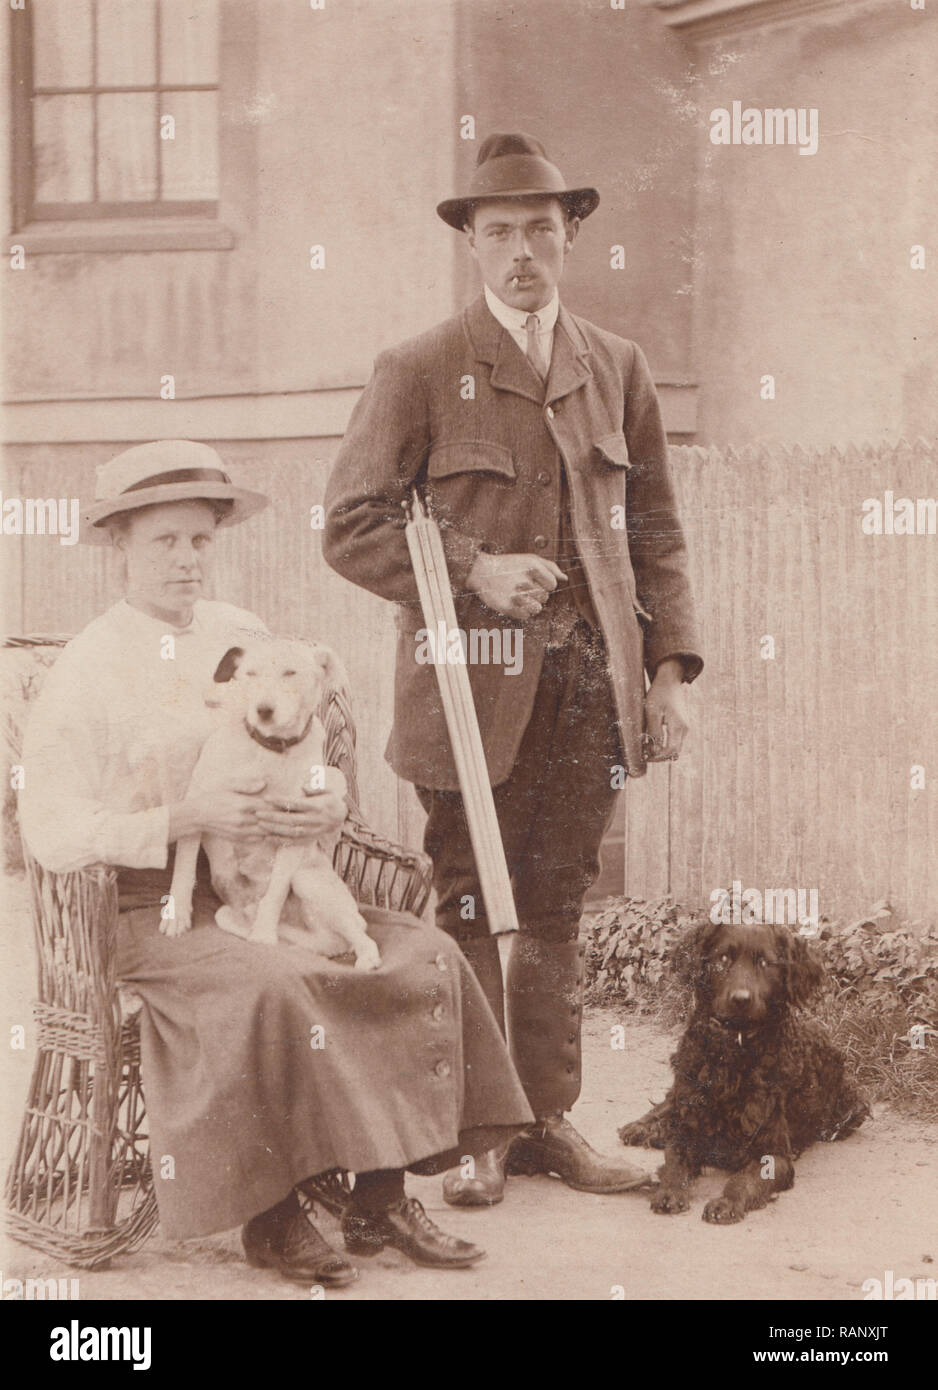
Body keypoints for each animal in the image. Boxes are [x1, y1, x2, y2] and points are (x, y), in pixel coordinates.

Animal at [166, 636, 380, 973]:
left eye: (290, 673)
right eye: (250, 674)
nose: (264, 710)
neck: (267, 751)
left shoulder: (294, 829)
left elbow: (276, 890)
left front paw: (264, 935)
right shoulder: (198, 806)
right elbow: (184, 869)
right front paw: (177, 917)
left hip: (309, 880)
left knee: (359, 936)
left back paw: (364, 958)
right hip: (235, 909)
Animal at [619, 922, 867, 1228]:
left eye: (765, 963)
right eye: (723, 958)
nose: (740, 999)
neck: (732, 1054)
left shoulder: (774, 1155)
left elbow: (743, 1181)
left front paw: (726, 1203)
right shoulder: (687, 1123)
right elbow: (674, 1162)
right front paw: (669, 1192)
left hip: (852, 1107)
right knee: (666, 1105)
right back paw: (640, 1128)